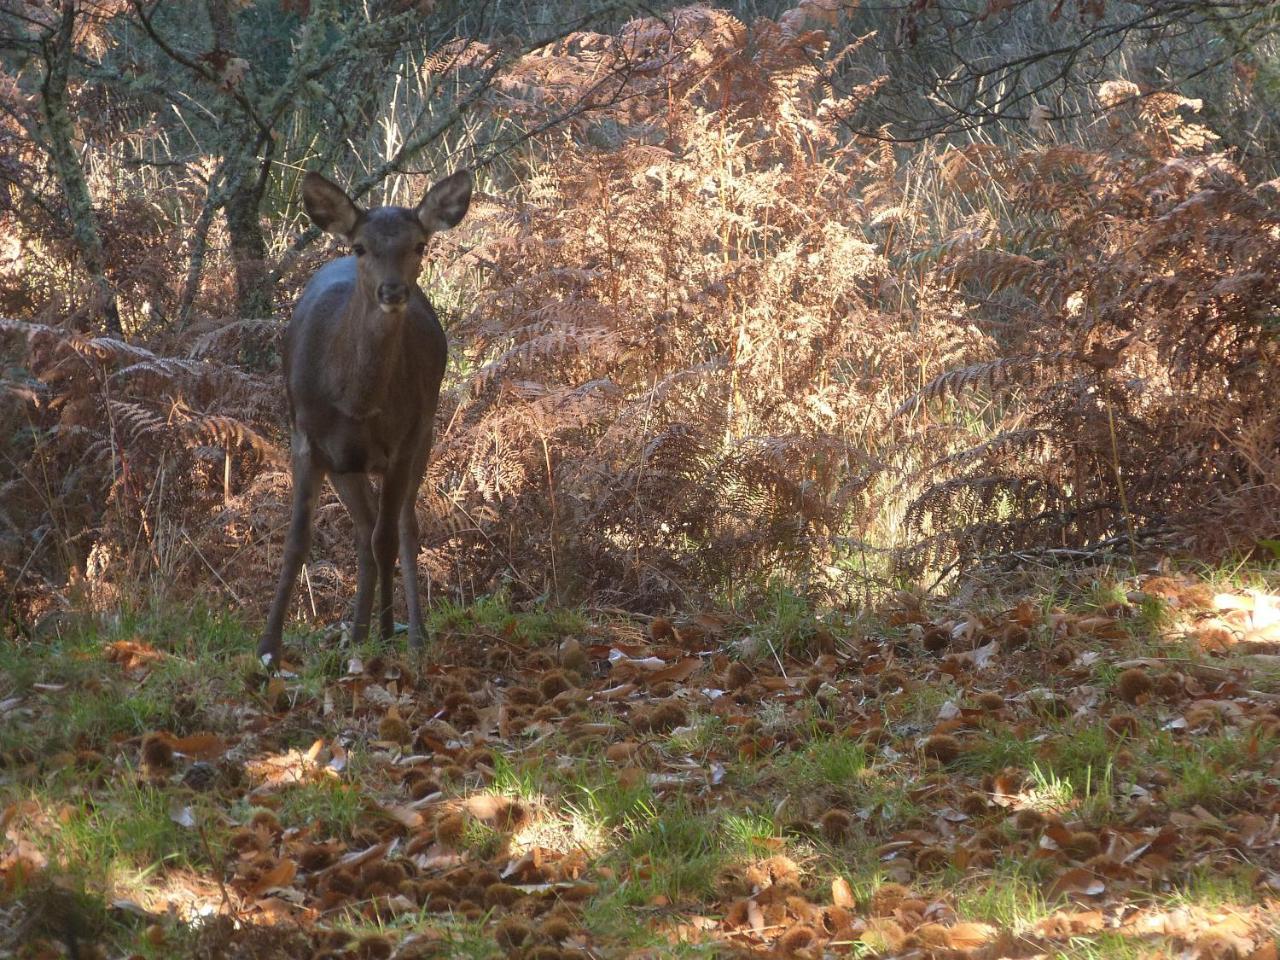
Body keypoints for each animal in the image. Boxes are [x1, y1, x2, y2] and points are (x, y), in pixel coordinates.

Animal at [257, 171, 473, 670]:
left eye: (419, 245)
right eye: (360, 246)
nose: (392, 291)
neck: (356, 403)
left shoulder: (403, 441)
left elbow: (388, 538)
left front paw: (395, 633)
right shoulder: (306, 439)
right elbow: (297, 542)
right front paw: (268, 648)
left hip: (424, 433)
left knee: (399, 528)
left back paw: (406, 633)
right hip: (346, 466)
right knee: (363, 530)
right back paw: (356, 633)